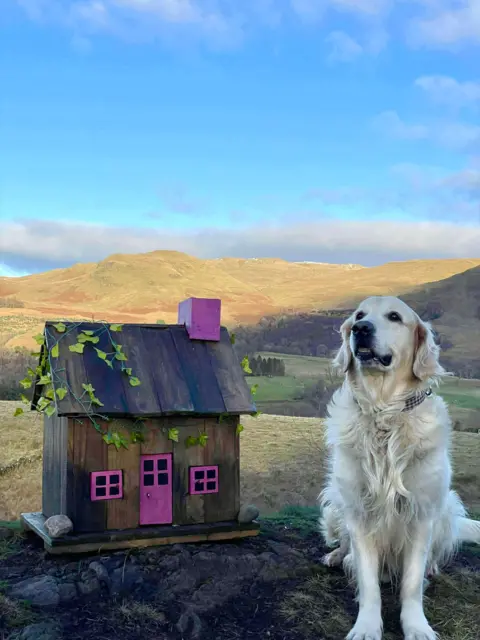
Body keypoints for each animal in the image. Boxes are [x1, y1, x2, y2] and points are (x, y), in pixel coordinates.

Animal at [318, 298, 480, 640]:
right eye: (359, 315)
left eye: (394, 317)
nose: (360, 329)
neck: (384, 412)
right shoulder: (359, 512)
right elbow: (368, 582)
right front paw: (366, 627)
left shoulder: (421, 513)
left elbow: (412, 582)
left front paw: (416, 626)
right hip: (336, 504)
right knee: (344, 543)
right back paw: (338, 556)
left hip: (445, 506)